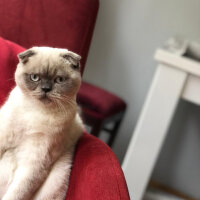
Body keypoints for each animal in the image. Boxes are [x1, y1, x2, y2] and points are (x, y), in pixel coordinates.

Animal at [0, 46, 83, 200]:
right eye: (35, 77)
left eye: (59, 80)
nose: (45, 89)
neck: (36, 112)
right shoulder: (4, 136)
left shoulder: (36, 161)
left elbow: (17, 192)